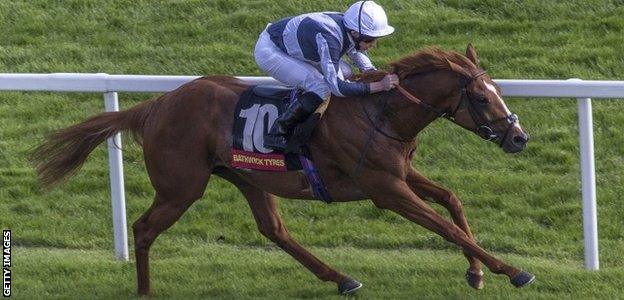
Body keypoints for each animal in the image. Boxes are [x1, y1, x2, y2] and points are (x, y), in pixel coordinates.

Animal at [33, 44, 532, 296]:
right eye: (482, 97)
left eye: (498, 89)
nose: (519, 138)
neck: (381, 114)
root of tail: (156, 104)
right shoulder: (384, 188)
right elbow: (444, 226)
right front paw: (511, 270)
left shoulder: (400, 175)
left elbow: (451, 202)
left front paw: (476, 273)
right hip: (181, 187)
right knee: (142, 228)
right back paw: (144, 292)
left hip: (247, 176)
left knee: (273, 229)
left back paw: (342, 278)